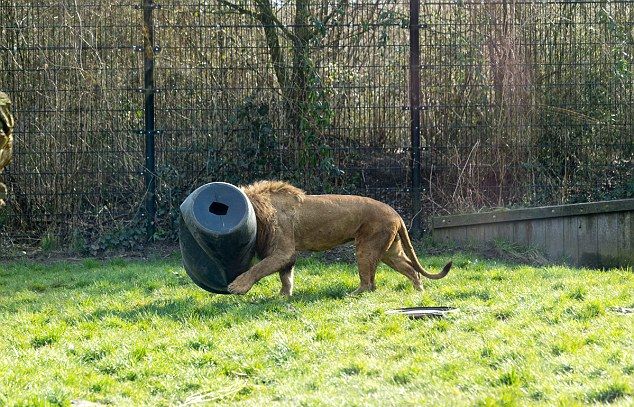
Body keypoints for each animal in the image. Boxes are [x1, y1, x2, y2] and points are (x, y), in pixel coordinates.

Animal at [226, 182, 450, 296]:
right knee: (410, 269)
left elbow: (259, 268)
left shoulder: (283, 251)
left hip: (366, 247)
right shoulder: (285, 255)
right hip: (390, 250)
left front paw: (237, 286)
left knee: (368, 282)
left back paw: (354, 294)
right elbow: (286, 277)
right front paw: (284, 296)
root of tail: (396, 213)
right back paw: (419, 291)